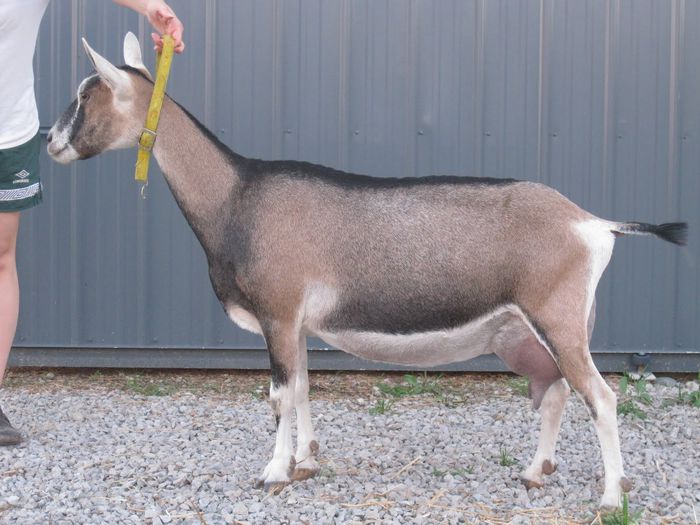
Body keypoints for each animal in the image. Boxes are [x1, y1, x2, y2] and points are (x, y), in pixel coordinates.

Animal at [47, 33, 687, 509]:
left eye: (88, 92)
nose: (51, 142)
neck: (238, 199)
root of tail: (593, 223)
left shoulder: (278, 311)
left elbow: (279, 396)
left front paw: (273, 473)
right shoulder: (297, 325)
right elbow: (304, 388)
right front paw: (306, 462)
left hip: (559, 317)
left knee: (600, 396)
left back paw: (610, 498)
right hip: (527, 328)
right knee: (554, 391)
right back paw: (534, 473)